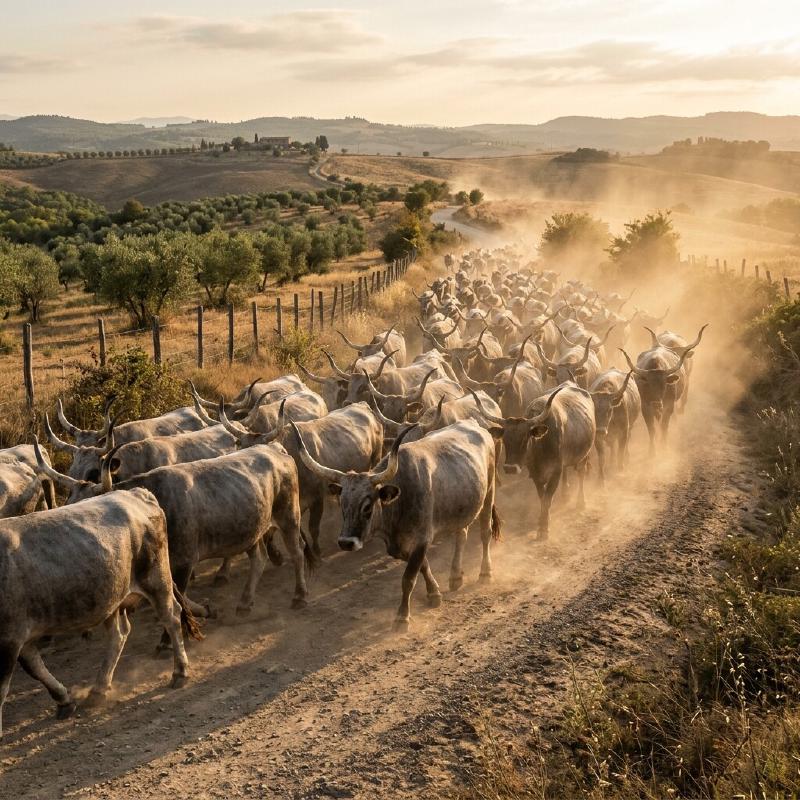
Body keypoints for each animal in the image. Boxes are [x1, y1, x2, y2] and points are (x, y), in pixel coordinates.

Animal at [0, 483, 198, 738]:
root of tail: (135, 492)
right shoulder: (20, 635)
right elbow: (35, 666)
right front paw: (64, 699)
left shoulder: (9, 638)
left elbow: (3, 688)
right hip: (112, 595)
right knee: (120, 633)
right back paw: (98, 689)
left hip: (156, 578)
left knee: (171, 617)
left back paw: (180, 671)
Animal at [290, 419, 502, 632]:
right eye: (342, 503)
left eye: (367, 506)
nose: (346, 542)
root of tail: (472, 423)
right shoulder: (401, 546)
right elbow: (423, 566)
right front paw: (434, 593)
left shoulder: (422, 539)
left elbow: (408, 578)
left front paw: (402, 617)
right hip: (463, 507)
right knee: (461, 535)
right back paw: (456, 576)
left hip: (489, 492)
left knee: (485, 533)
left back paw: (485, 573)